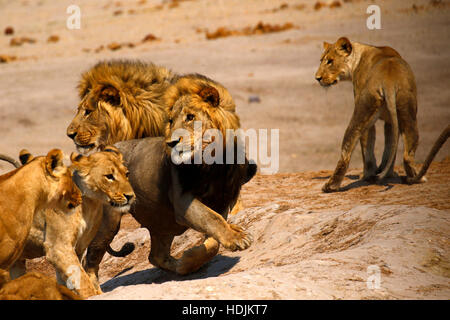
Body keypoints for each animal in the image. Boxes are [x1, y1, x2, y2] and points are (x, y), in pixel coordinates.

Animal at [9, 147, 134, 298]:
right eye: (109, 176)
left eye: (127, 174)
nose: (130, 196)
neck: (90, 205)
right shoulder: (58, 247)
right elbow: (84, 283)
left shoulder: (78, 248)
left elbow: (71, 280)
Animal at [84, 74, 256, 282]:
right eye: (172, 121)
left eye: (190, 117)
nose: (172, 142)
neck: (212, 164)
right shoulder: (183, 202)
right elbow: (211, 219)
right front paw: (238, 238)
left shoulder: (222, 202)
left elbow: (214, 238)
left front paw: (190, 259)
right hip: (109, 221)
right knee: (91, 257)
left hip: (163, 221)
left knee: (155, 256)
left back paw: (181, 267)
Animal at [314, 37, 448, 192]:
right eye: (321, 60)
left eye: (330, 61)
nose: (317, 78)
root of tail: (388, 80)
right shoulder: (390, 120)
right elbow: (389, 146)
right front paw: (387, 173)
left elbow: (377, 146)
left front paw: (376, 173)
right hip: (408, 112)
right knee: (406, 153)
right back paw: (416, 178)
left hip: (366, 108)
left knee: (353, 150)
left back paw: (339, 183)